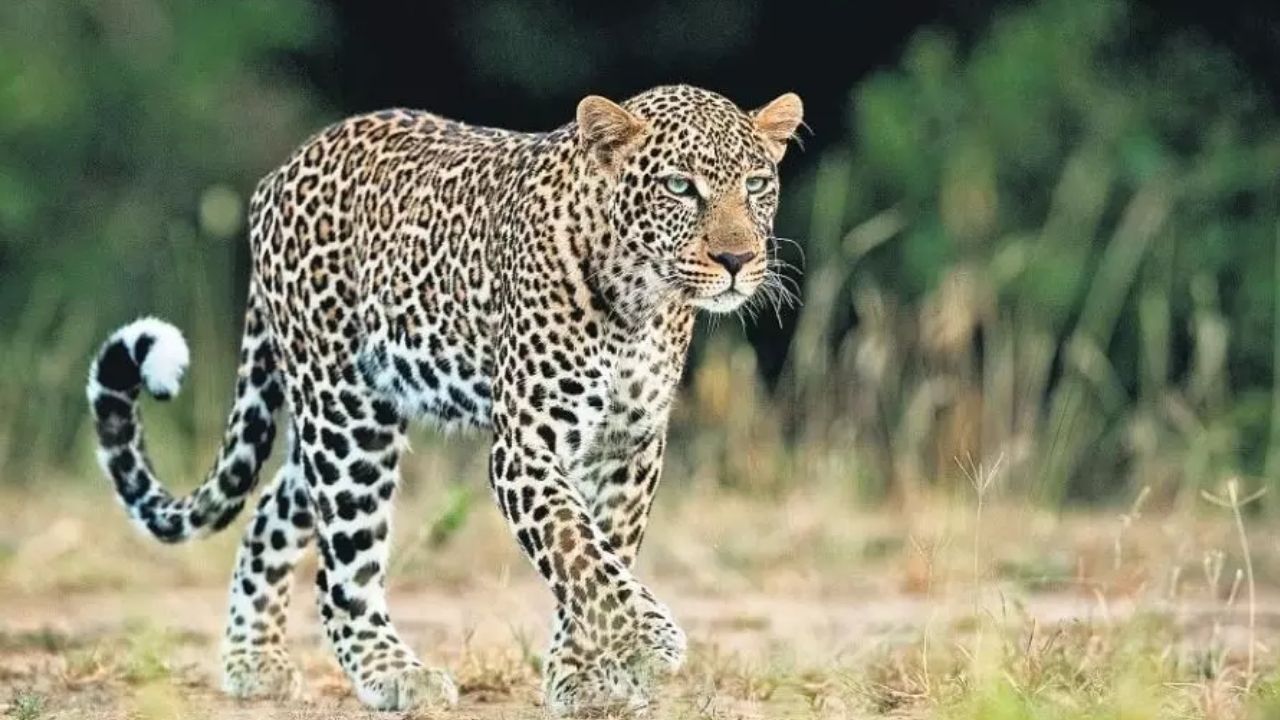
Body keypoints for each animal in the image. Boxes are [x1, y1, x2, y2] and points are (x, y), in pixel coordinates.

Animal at [85, 84, 803, 716]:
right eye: (680, 187)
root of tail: (279, 173)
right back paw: (393, 674)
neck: (641, 303)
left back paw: (251, 662)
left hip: (336, 419)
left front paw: (583, 676)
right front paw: (650, 643)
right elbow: (579, 551)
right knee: (342, 570)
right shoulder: (525, 447)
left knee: (271, 512)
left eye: (755, 185)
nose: (737, 259)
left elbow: (604, 555)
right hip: (347, 415)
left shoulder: (629, 447)